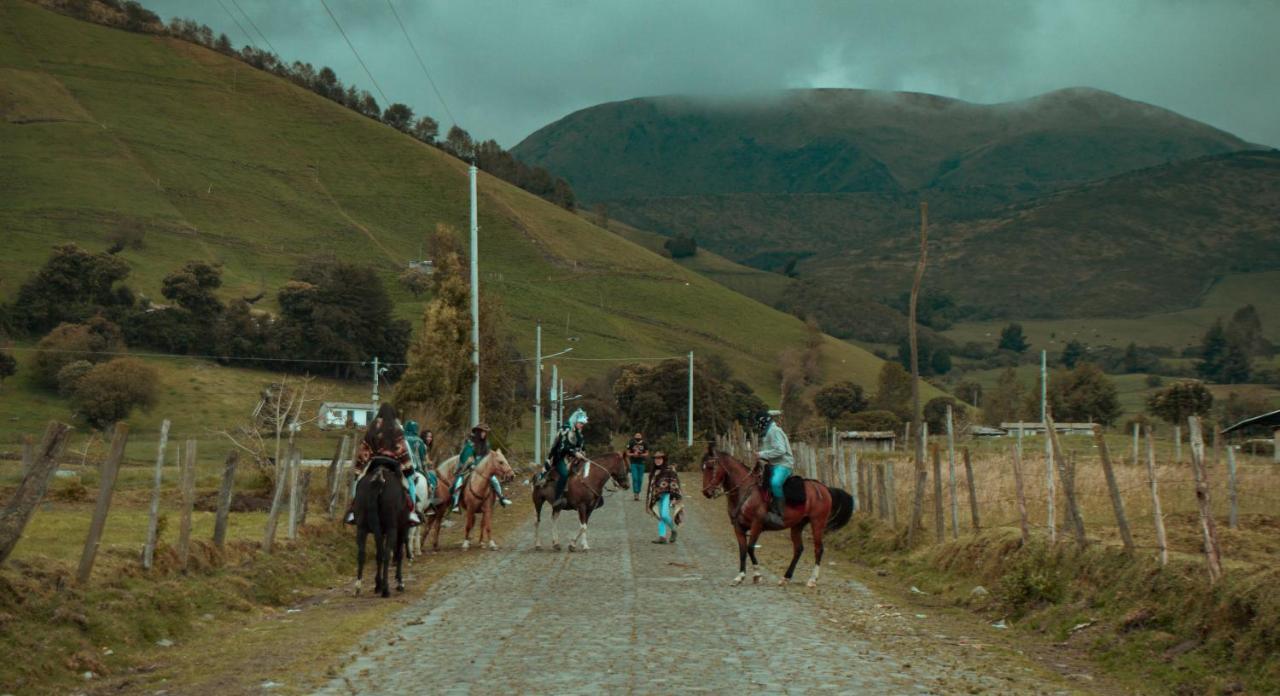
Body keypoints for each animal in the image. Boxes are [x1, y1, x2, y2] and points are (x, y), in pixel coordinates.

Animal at [701, 442, 849, 583]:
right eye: (702, 468)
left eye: (710, 467)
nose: (706, 492)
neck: (745, 491)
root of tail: (824, 488)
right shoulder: (738, 527)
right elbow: (742, 550)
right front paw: (740, 576)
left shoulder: (756, 525)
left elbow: (750, 548)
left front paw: (757, 575)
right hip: (798, 525)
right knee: (798, 549)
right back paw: (786, 577)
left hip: (817, 522)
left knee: (818, 549)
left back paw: (812, 579)